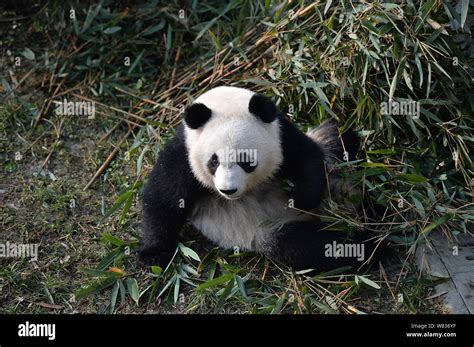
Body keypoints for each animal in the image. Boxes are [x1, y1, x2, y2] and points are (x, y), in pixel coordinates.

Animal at [139, 86, 384, 272]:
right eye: (214, 161)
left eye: (246, 160)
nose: (228, 190)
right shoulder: (183, 154)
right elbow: (164, 200)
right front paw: (153, 254)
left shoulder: (282, 135)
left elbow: (308, 159)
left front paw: (298, 196)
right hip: (270, 229)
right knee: (311, 246)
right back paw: (369, 246)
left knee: (338, 137)